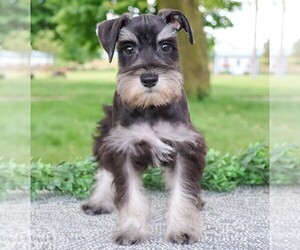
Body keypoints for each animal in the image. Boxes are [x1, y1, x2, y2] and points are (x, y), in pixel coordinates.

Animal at [83, 8, 207, 246]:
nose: (149, 78)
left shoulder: (184, 146)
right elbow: (130, 195)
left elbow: (183, 190)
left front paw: (183, 229)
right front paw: (130, 231)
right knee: (104, 169)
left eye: (166, 46)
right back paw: (98, 201)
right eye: (129, 48)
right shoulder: (122, 148)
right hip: (105, 136)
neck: (150, 107)